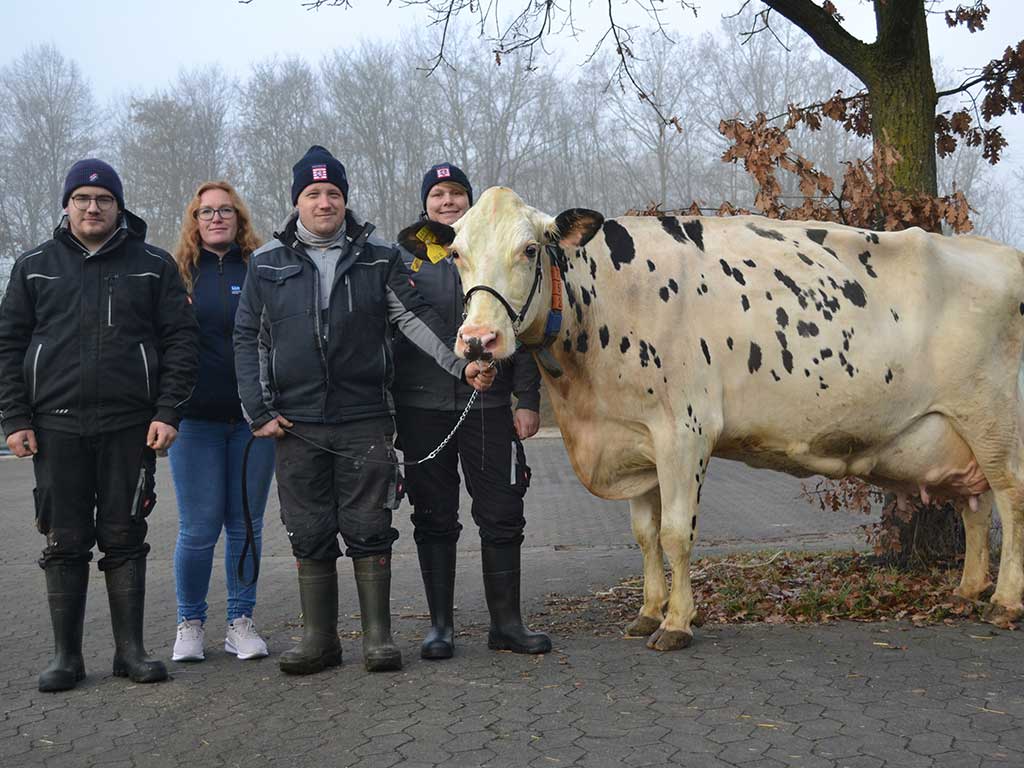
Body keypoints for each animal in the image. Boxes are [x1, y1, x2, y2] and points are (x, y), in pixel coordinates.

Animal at [399, 186, 1024, 651]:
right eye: (456, 255)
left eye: (531, 249)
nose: (478, 341)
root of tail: (1003, 254)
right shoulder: (635, 438)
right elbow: (644, 534)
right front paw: (648, 612)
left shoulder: (683, 431)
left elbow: (676, 533)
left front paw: (677, 623)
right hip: (957, 432)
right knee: (975, 505)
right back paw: (968, 590)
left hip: (993, 416)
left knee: (1010, 497)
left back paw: (1003, 602)